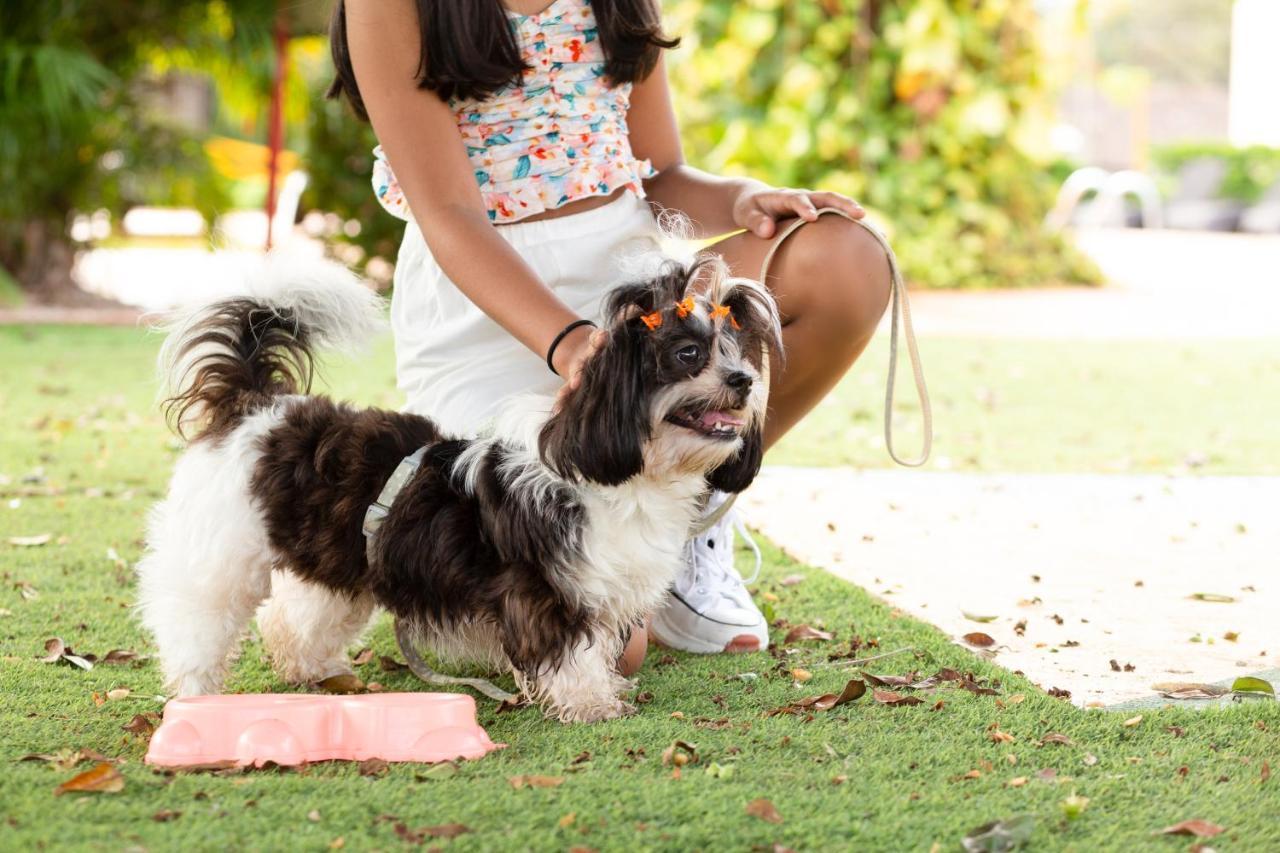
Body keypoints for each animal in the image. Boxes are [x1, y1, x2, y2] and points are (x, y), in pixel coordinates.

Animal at [137, 251, 778, 717]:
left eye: (737, 351)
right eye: (688, 354)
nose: (743, 381)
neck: (624, 475)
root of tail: (256, 407)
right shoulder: (545, 593)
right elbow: (571, 653)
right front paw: (592, 705)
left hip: (338, 560)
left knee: (295, 616)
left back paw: (309, 667)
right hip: (221, 558)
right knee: (195, 620)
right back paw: (196, 695)